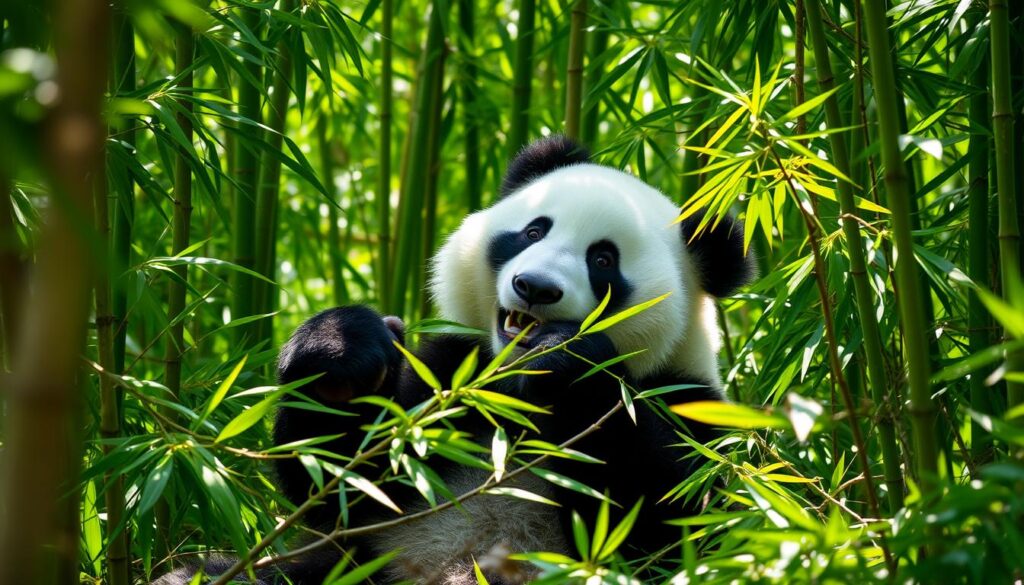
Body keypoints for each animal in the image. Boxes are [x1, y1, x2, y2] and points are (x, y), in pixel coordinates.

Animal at [157, 135, 753, 581]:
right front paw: (342, 351)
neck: (511, 396)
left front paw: (569, 366)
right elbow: (343, 485)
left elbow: (671, 525)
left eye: (603, 260)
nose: (535, 287)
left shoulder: (688, 406)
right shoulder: (449, 380)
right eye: (534, 230)